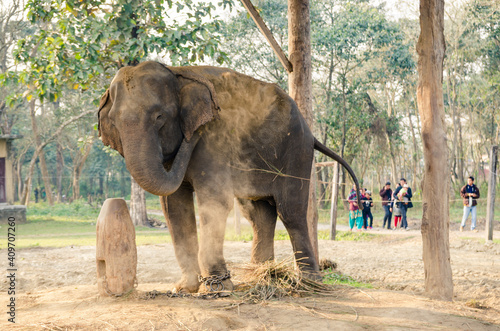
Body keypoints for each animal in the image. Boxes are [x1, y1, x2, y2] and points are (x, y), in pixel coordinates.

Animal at [97, 61, 360, 294]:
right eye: (115, 123)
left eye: (159, 117)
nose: (196, 133)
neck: (177, 73)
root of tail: (311, 133)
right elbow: (173, 206)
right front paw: (184, 288)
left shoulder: (214, 140)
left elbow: (214, 202)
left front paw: (218, 287)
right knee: (258, 214)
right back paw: (263, 275)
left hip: (297, 152)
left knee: (291, 211)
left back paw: (309, 283)